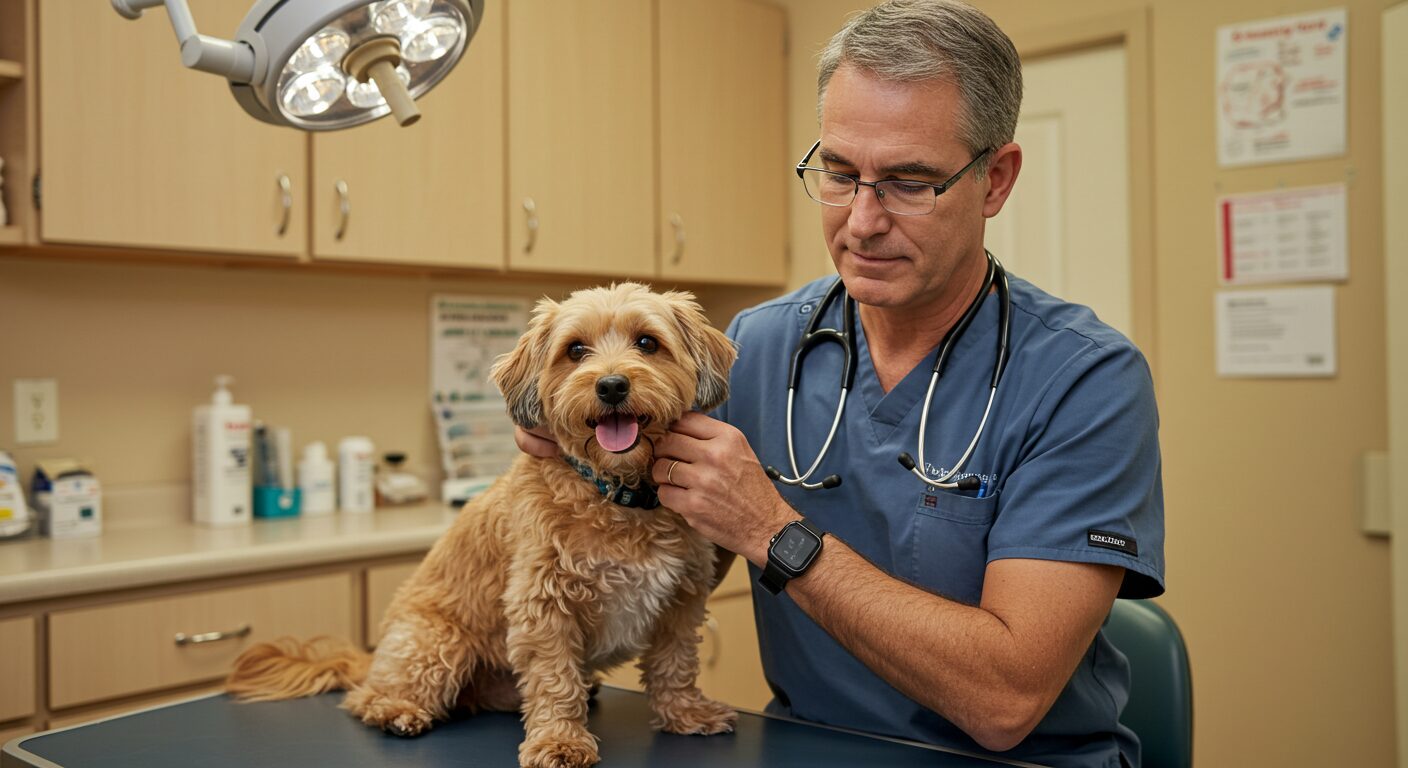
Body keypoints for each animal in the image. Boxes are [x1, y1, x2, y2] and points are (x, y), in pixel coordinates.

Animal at [225, 283, 743, 766]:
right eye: (576, 350)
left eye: (648, 342)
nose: (611, 385)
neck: (617, 493)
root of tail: (372, 658)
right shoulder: (543, 603)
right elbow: (554, 679)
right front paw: (560, 740)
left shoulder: (681, 600)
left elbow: (675, 663)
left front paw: (685, 714)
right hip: (436, 642)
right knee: (367, 697)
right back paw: (397, 711)